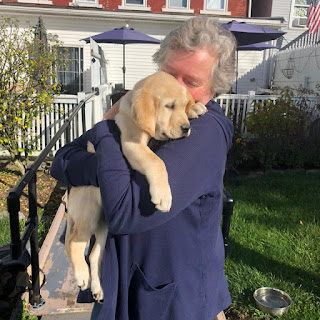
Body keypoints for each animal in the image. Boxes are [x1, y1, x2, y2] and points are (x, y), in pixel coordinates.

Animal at [63, 70, 206, 302]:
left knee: (93, 255)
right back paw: (82, 276)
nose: (186, 129)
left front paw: (195, 108)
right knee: (74, 243)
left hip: (104, 225)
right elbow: (156, 162)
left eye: (183, 105)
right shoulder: (132, 144)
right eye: (169, 106)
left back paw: (98, 288)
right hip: (89, 211)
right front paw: (163, 196)